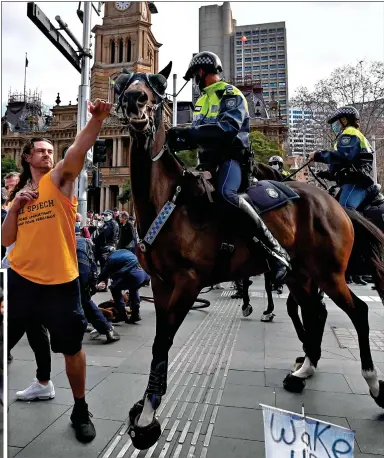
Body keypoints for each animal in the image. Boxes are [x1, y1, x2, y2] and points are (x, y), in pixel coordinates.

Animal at [115, 62, 384, 450]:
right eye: (122, 83)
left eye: (158, 84)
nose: (136, 101)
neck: (170, 199)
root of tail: (335, 203)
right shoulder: (161, 284)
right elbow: (158, 345)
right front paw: (147, 405)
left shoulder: (188, 282)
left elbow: (163, 341)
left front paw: (148, 417)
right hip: (302, 275)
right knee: (315, 311)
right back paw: (304, 369)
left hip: (330, 273)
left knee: (358, 312)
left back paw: (374, 383)